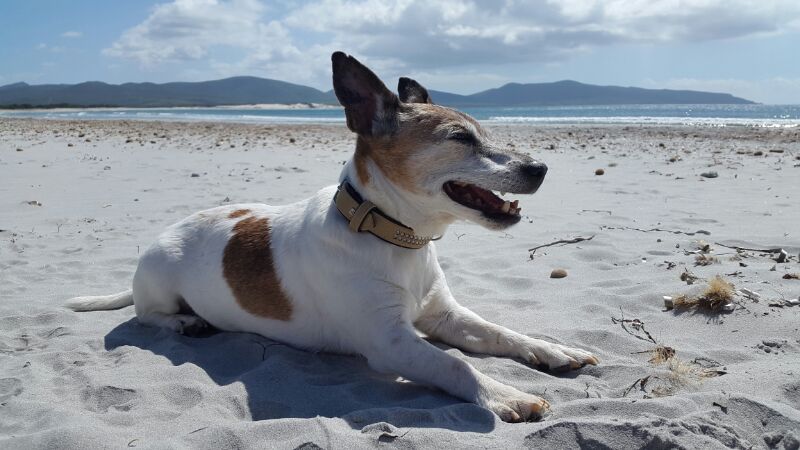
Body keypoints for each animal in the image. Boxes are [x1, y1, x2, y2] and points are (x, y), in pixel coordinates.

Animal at [66, 51, 598, 423]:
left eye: (482, 132)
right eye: (460, 139)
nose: (541, 168)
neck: (397, 240)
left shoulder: (445, 316)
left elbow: (503, 333)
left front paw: (554, 351)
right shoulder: (390, 342)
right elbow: (455, 366)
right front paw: (506, 394)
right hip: (158, 282)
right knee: (147, 316)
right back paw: (184, 323)